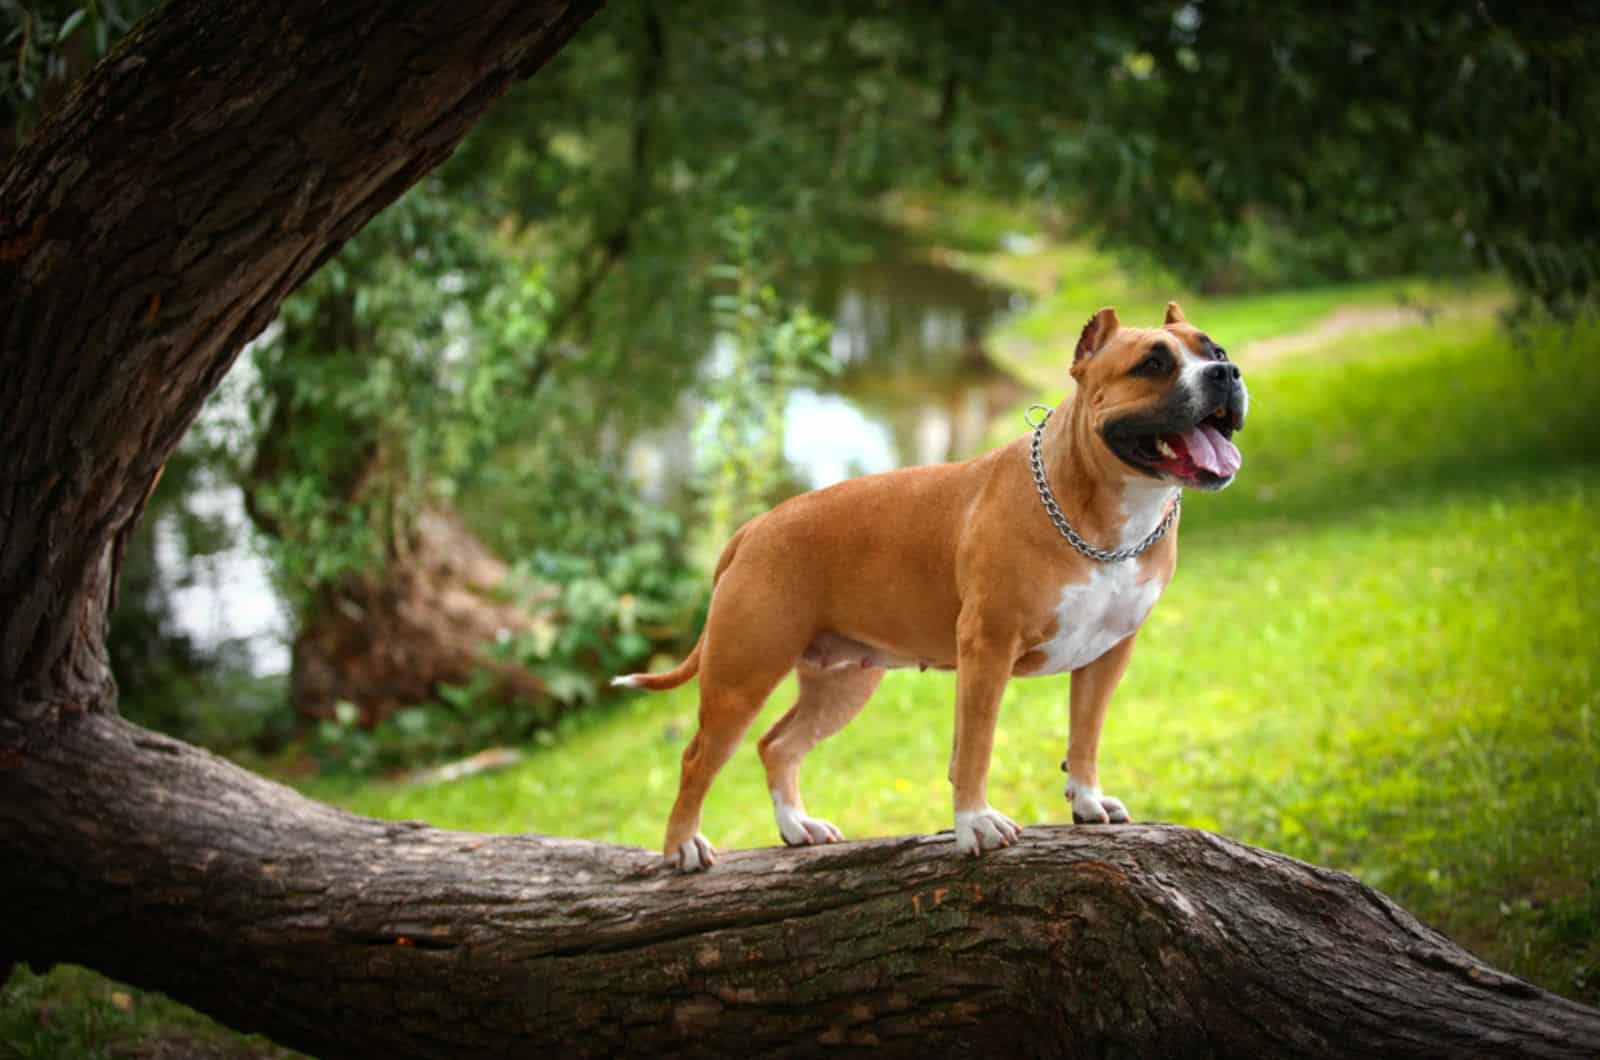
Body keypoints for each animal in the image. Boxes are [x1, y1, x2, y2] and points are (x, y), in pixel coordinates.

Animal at [611, 301, 1248, 871]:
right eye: (1152, 364)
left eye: (1214, 350)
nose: (1227, 373)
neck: (1106, 514)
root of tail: (753, 527)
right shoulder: (988, 648)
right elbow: (975, 748)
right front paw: (974, 824)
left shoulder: (1108, 654)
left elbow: (1084, 736)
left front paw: (1087, 802)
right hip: (742, 674)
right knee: (698, 758)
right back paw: (682, 848)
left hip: (842, 682)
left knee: (778, 744)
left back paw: (797, 827)